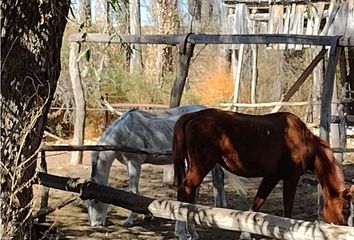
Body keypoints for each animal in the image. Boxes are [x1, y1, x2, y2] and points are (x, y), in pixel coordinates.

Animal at [85, 104, 232, 227]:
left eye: (96, 201)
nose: (95, 225)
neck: (124, 132)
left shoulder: (134, 163)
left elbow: (133, 190)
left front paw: (130, 220)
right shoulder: (129, 164)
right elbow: (137, 192)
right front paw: (146, 216)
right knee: (217, 179)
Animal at [173, 109, 352, 240]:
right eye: (345, 209)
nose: (343, 230)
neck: (304, 142)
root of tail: (193, 115)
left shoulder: (272, 176)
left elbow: (258, 201)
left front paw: (245, 233)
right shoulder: (291, 178)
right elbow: (287, 208)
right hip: (201, 166)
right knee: (185, 191)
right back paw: (183, 232)